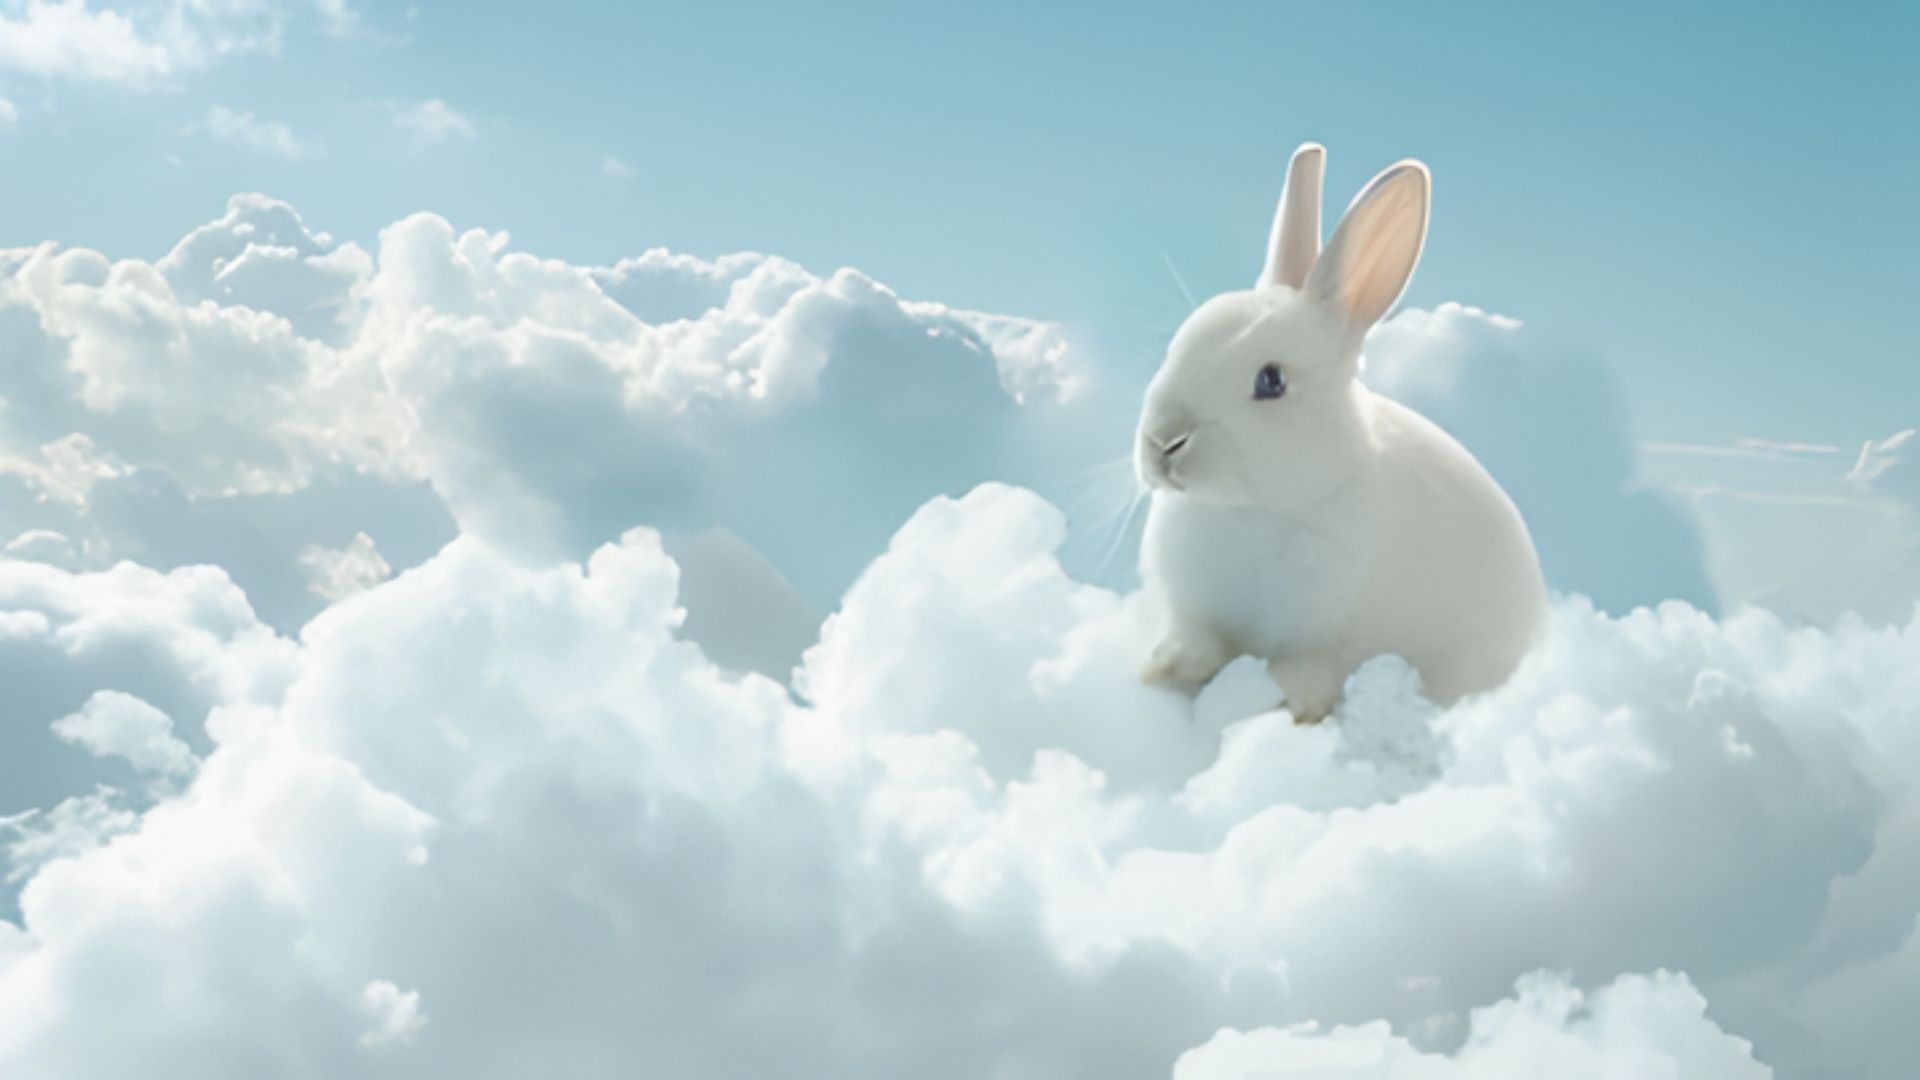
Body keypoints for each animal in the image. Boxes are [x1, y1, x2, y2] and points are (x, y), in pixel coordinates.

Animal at [1135, 142, 1547, 722]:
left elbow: (1304, 674)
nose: (1163, 443)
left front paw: (1289, 708)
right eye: (1177, 345)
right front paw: (1158, 670)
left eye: (1271, 380)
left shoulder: (1321, 637)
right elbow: (1197, 646)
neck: (1251, 509)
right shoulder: (1197, 616)